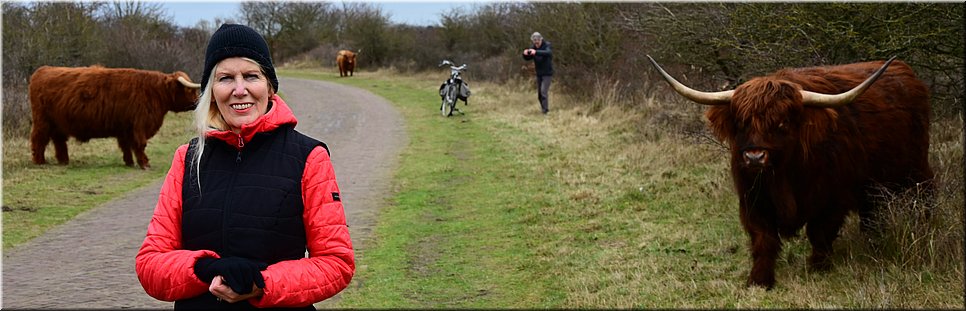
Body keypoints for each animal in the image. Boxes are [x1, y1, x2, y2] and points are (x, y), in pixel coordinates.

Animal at [29, 64, 201, 169]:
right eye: (190, 90)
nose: (198, 103)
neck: (155, 93)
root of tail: (42, 70)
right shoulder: (139, 124)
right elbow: (140, 144)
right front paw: (144, 163)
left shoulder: (125, 127)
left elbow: (126, 145)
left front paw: (129, 162)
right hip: (42, 121)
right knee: (39, 139)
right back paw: (39, 161)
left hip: (57, 123)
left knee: (59, 141)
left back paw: (64, 161)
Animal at [648, 55, 932, 290]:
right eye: (741, 122)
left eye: (782, 123)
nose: (754, 157)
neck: (784, 175)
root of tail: (905, 71)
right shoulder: (754, 201)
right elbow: (763, 240)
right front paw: (759, 280)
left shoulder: (832, 200)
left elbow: (819, 233)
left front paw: (818, 268)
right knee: (872, 213)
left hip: (916, 169)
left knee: (925, 195)